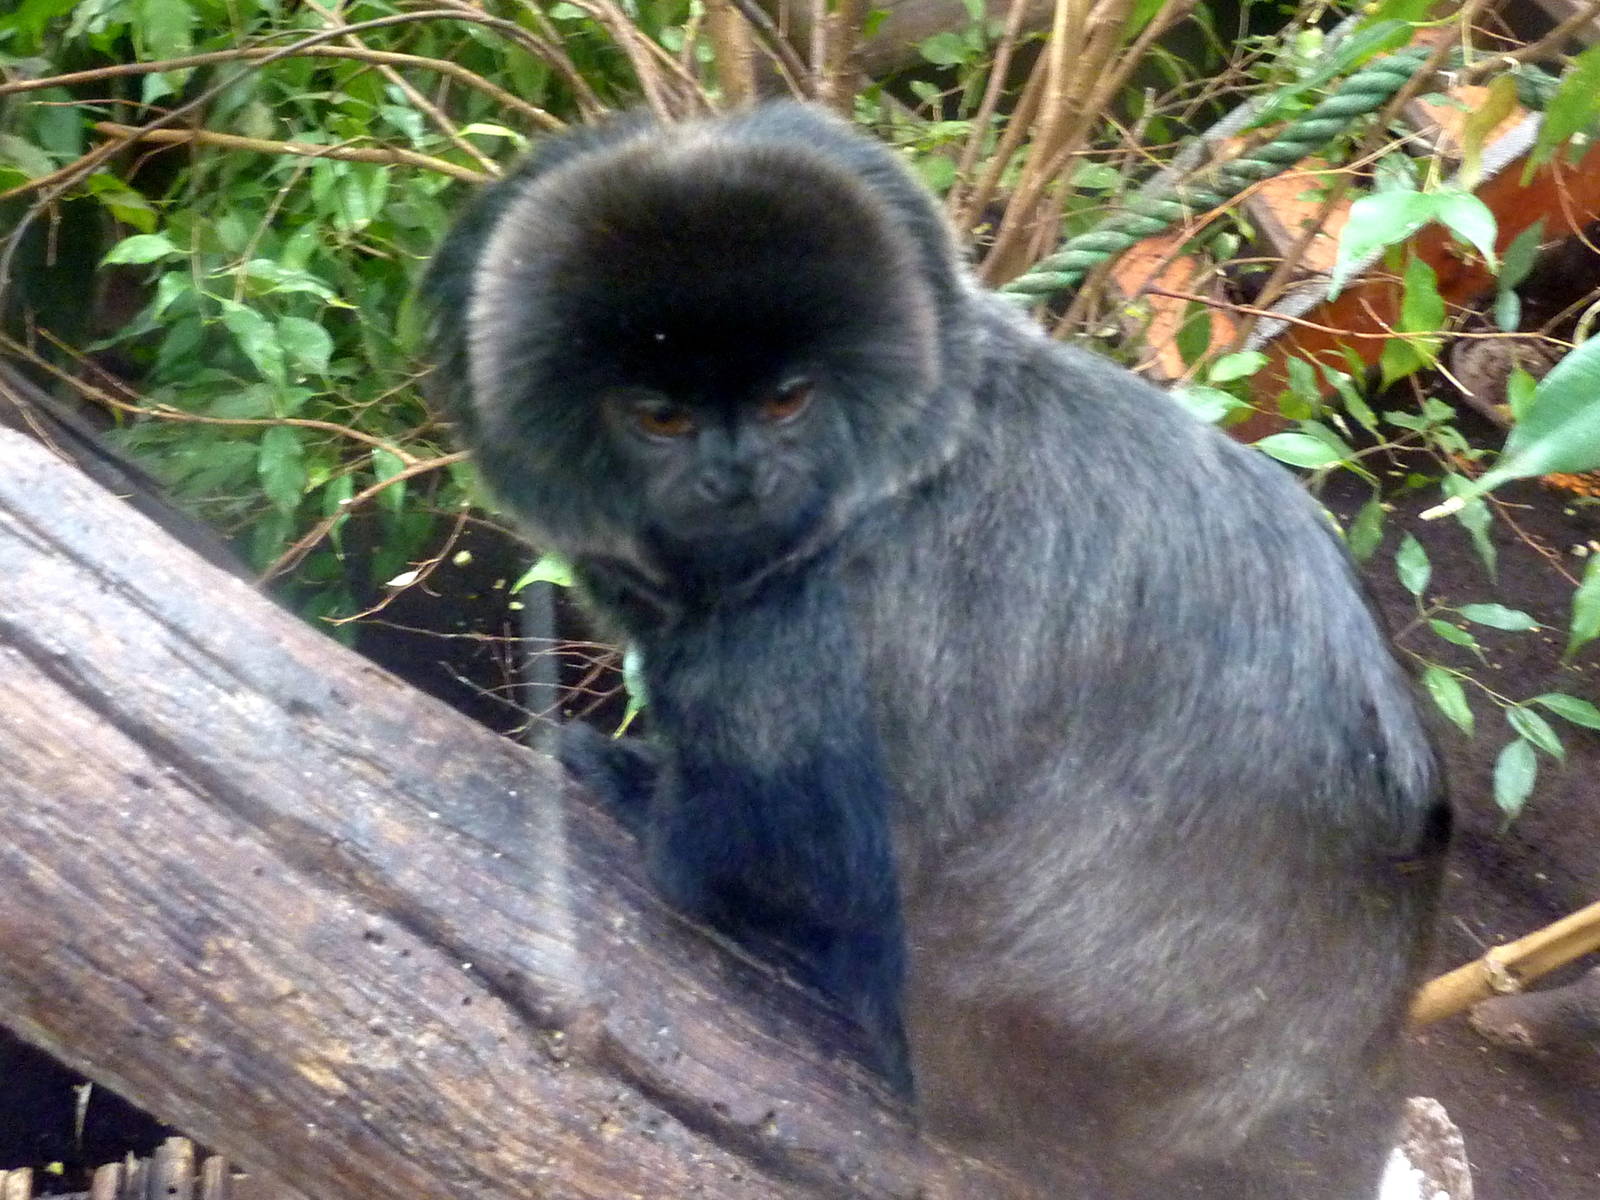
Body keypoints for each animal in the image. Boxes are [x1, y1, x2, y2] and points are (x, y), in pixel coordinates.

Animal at [423, 102, 1449, 1199]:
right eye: (660, 415)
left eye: (786, 401)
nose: (735, 473)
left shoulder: (817, 636)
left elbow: (772, 839)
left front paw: (638, 795)